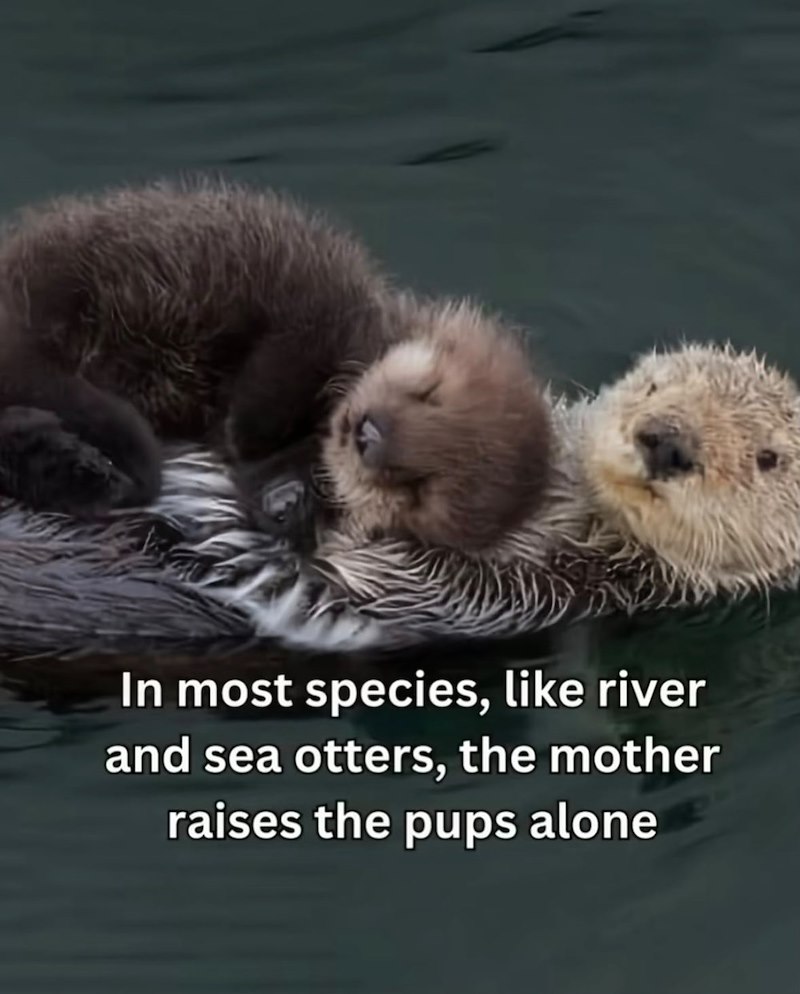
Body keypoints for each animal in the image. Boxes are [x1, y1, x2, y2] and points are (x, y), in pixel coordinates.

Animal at [0, 179, 552, 553]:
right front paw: (248, 432)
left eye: (417, 487)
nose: (368, 433)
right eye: (430, 393)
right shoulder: (320, 312)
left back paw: (78, 468)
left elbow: (264, 474)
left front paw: (288, 504)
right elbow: (283, 360)